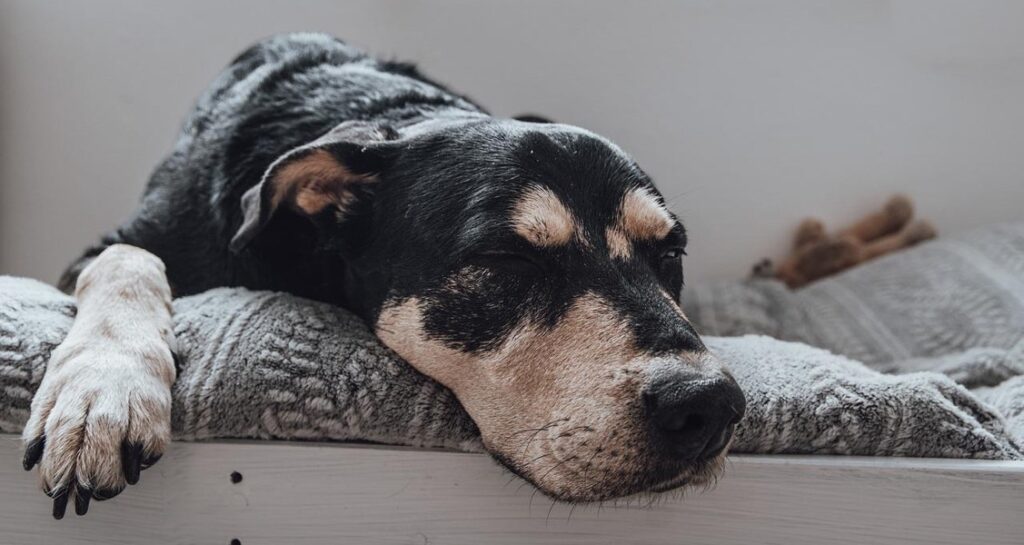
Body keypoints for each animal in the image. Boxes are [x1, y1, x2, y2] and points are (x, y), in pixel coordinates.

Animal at [22, 34, 745, 520]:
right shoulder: (114, 244)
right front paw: (103, 391)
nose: (709, 404)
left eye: (670, 255)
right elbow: (128, 263)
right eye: (510, 261)